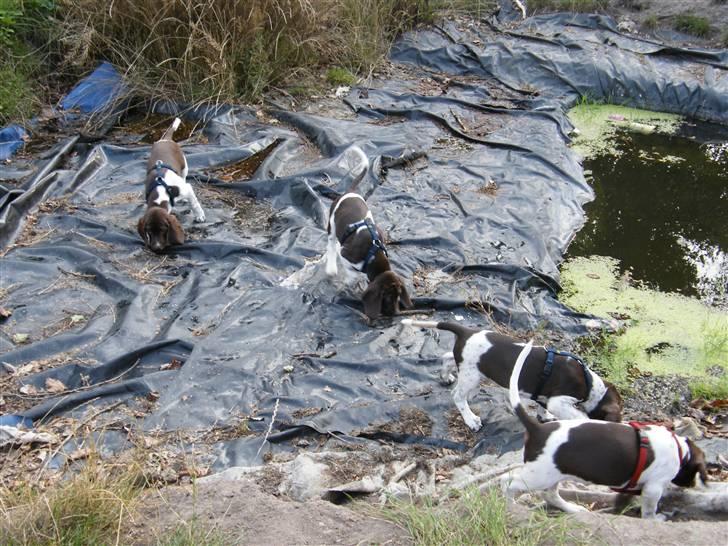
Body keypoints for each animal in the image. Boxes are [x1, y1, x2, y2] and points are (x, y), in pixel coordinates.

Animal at [322, 147, 410, 320]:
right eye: (386, 297)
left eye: (398, 296)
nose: (394, 314)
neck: (373, 254)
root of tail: (349, 193)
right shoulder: (345, 254)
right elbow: (352, 273)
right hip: (332, 225)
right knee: (331, 244)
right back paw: (331, 267)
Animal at [400, 318, 624, 430]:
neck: (590, 384)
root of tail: (467, 331)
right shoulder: (559, 400)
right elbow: (577, 415)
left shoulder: (546, 397)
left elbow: (543, 408)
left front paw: (546, 417)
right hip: (473, 377)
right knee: (458, 396)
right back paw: (471, 419)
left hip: (470, 367)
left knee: (447, 357)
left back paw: (445, 376)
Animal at [500, 340, 704, 520]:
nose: (691, 485)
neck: (679, 449)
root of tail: (538, 429)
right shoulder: (653, 488)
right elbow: (649, 511)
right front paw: (655, 519)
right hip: (538, 475)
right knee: (508, 484)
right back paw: (510, 505)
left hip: (553, 473)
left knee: (548, 494)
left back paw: (573, 509)